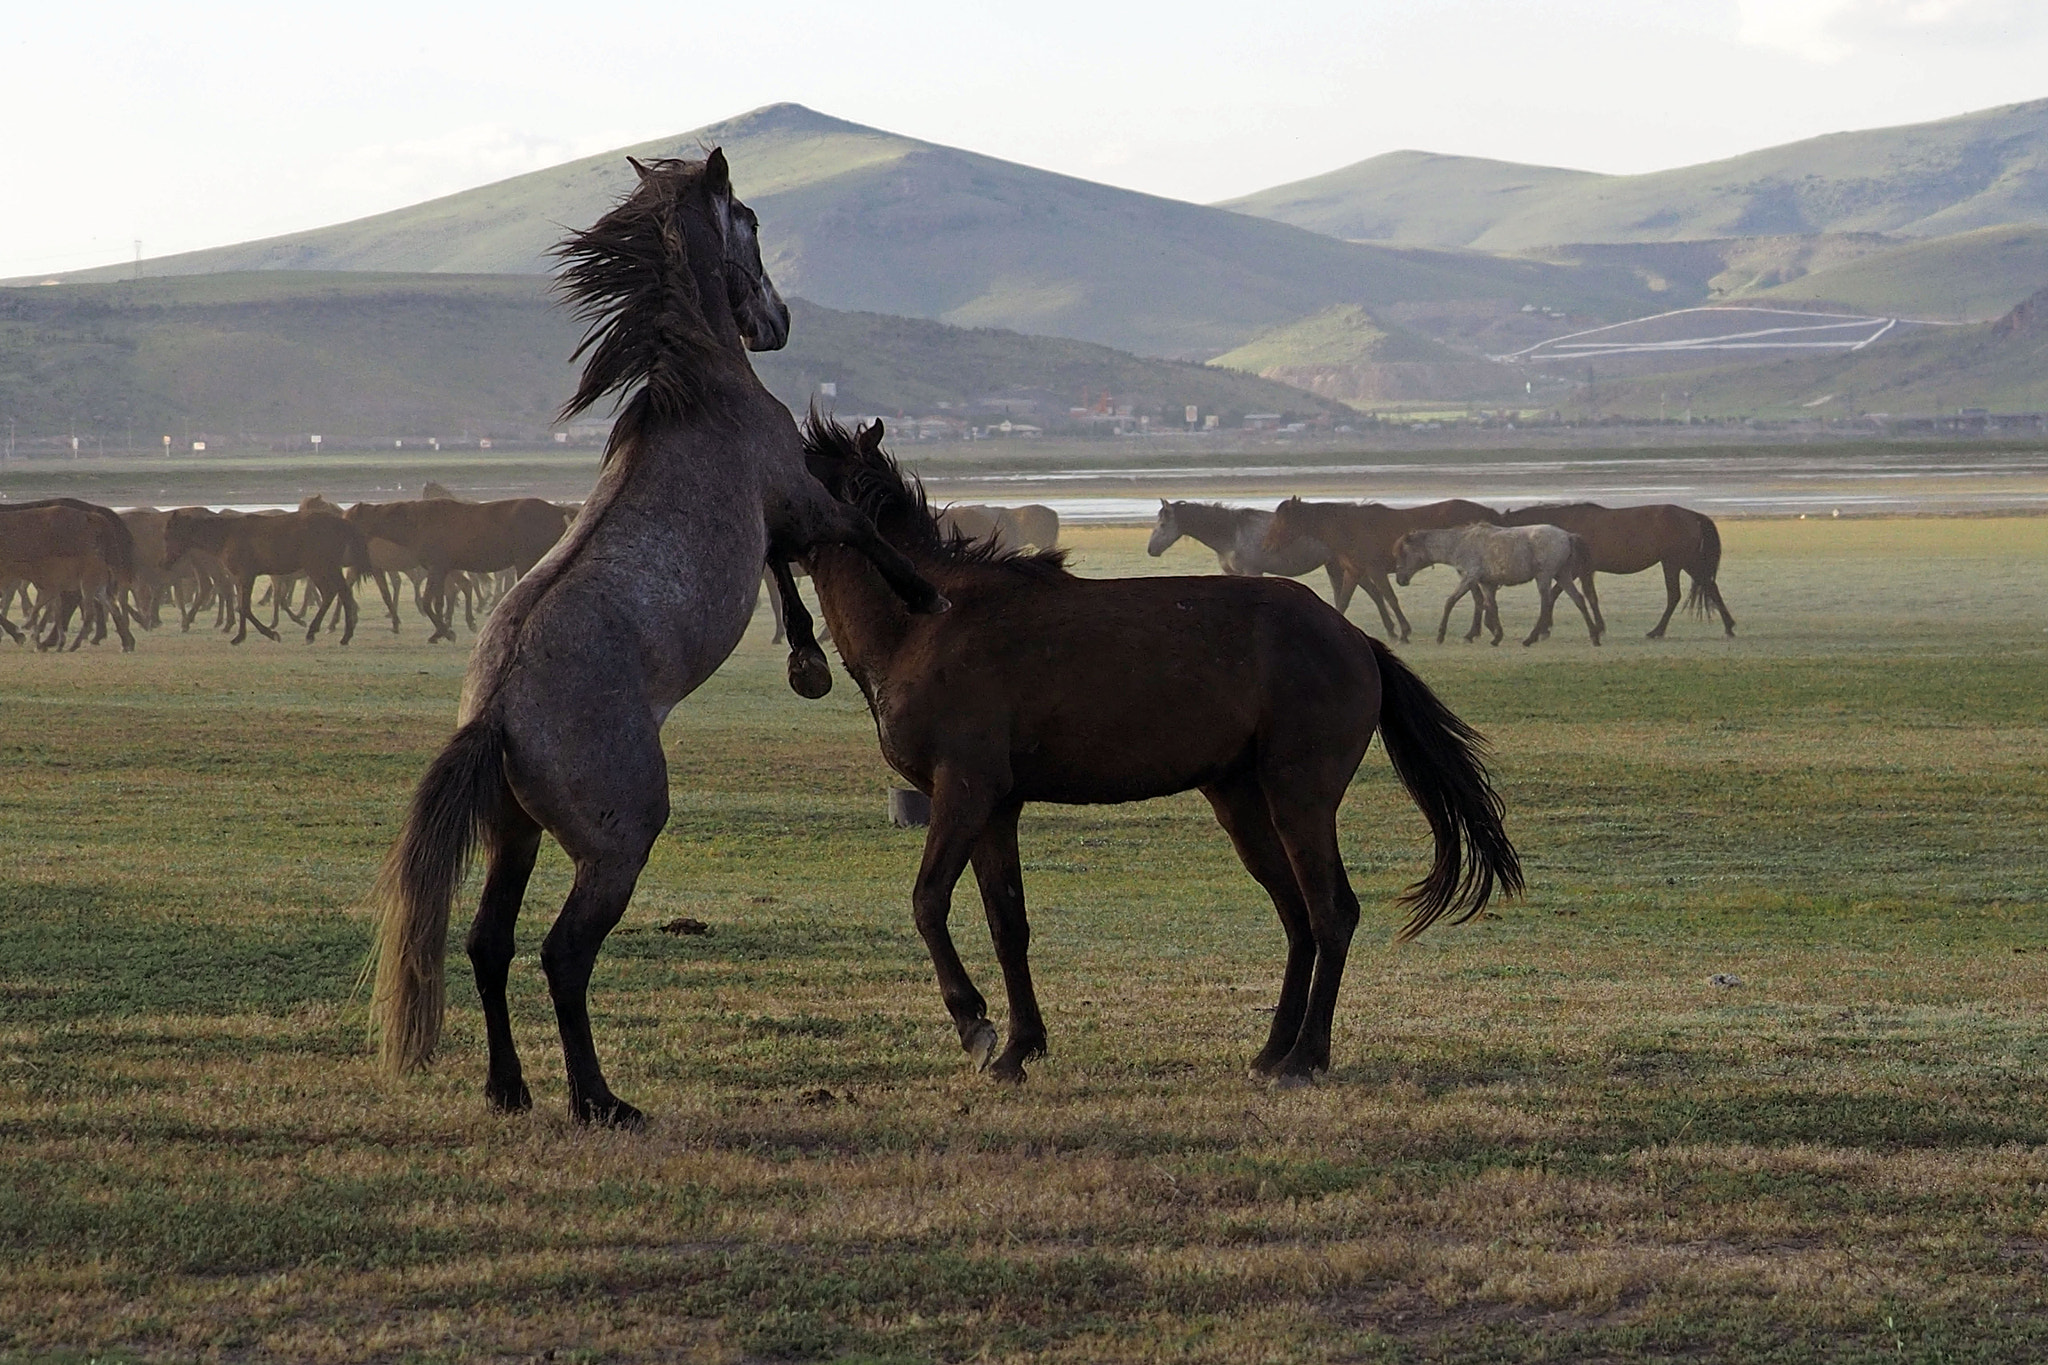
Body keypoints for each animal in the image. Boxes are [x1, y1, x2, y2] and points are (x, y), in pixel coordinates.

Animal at [369, 151, 947, 1128]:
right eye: (749, 218)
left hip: (515, 832)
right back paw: (600, 1100)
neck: (704, 387)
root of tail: (496, 714)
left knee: (489, 945)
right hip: (617, 844)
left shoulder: (775, 523)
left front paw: (807, 661)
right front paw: (922, 592)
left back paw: (510, 1088)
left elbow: (786, 574)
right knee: (561, 955)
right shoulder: (796, 496)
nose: (777, 322)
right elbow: (852, 537)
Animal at [1262, 498, 1506, 642]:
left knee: (1479, 596)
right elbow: (1345, 601)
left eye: (1282, 520)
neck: (1348, 528)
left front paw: (1404, 631)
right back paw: (1476, 631)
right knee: (1479, 597)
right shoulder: (1354, 572)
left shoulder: (1374, 570)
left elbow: (1389, 598)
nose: (1267, 546)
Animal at [1393, 524, 1602, 647]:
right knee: (1579, 599)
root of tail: (1567, 535)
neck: (1460, 542)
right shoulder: (1487, 583)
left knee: (1546, 603)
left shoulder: (1469, 577)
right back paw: (1594, 635)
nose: (1400, 579)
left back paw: (1530, 638)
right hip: (1563, 575)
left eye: (1404, 553)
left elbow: (1450, 601)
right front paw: (1496, 636)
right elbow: (1492, 606)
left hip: (1545, 576)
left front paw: (1440, 635)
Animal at [1496, 503, 1733, 638]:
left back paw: (1657, 631)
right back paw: (1729, 626)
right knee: (1710, 586)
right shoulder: (1580, 571)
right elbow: (1579, 595)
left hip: (1675, 562)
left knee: (1678, 594)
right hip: (1685, 562)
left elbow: (1570, 595)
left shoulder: (1576, 570)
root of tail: (1694, 516)